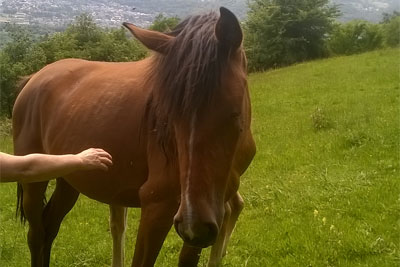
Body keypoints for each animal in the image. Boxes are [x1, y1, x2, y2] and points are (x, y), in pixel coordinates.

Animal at [14, 6, 256, 267]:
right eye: (169, 115)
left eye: (233, 112)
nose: (194, 224)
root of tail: (34, 79)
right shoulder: (157, 205)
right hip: (34, 181)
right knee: (36, 235)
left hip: (69, 178)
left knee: (50, 226)